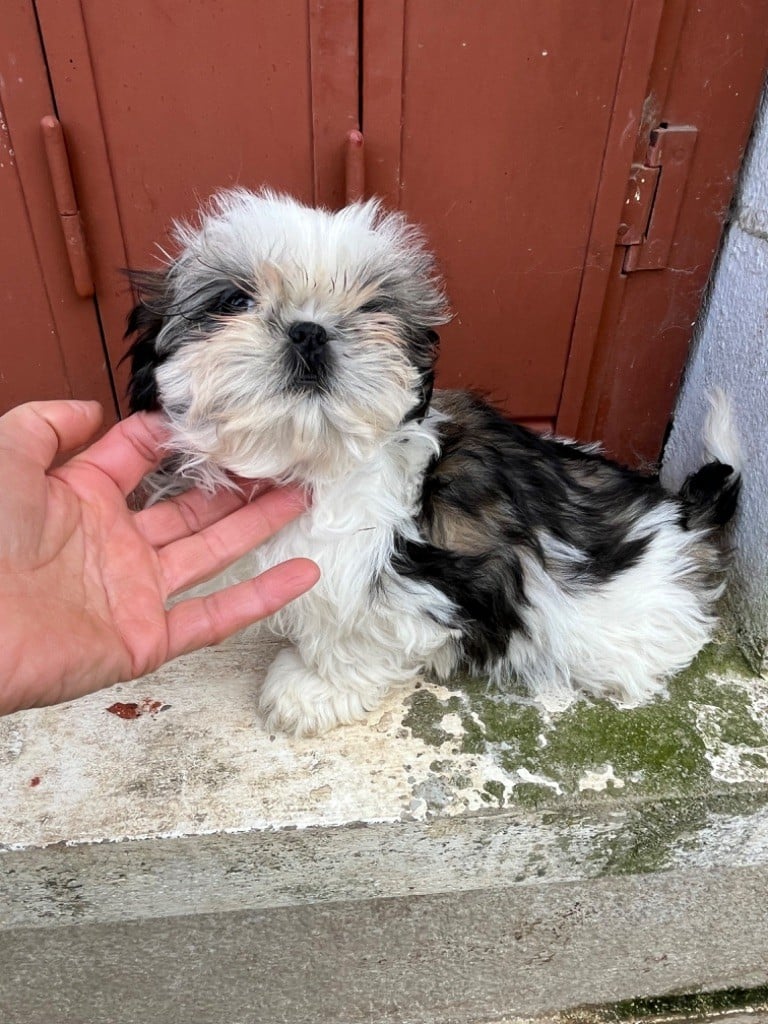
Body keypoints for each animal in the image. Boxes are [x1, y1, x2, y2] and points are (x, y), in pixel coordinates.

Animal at [126, 188, 741, 736]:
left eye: (372, 307)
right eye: (233, 301)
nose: (310, 330)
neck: (314, 460)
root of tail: (678, 518)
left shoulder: (413, 582)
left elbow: (355, 638)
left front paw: (311, 688)